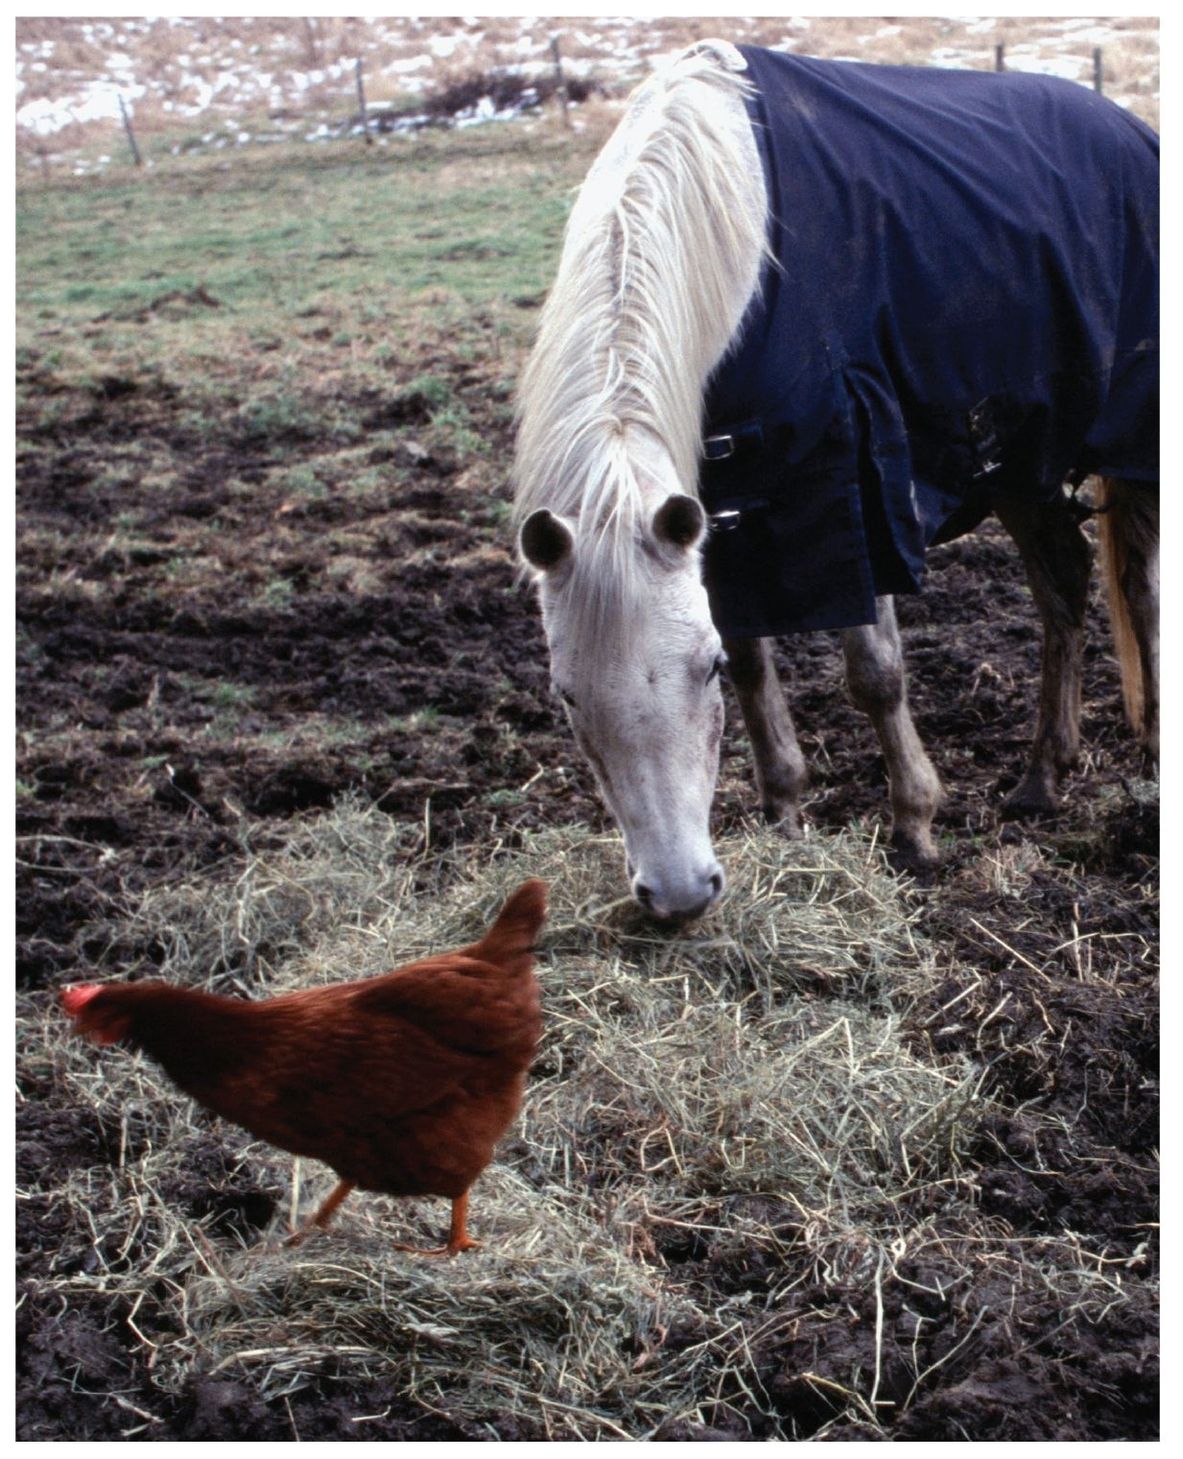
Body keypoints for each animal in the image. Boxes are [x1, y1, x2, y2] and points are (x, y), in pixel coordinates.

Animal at [513, 42, 1161, 922]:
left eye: (699, 672)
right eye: (567, 697)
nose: (677, 894)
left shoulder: (855, 485)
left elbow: (875, 674)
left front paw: (914, 826)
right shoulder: (728, 523)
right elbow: (758, 666)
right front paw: (784, 813)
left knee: (1139, 589)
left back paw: (1152, 754)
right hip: (1015, 459)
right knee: (1063, 583)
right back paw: (1040, 776)